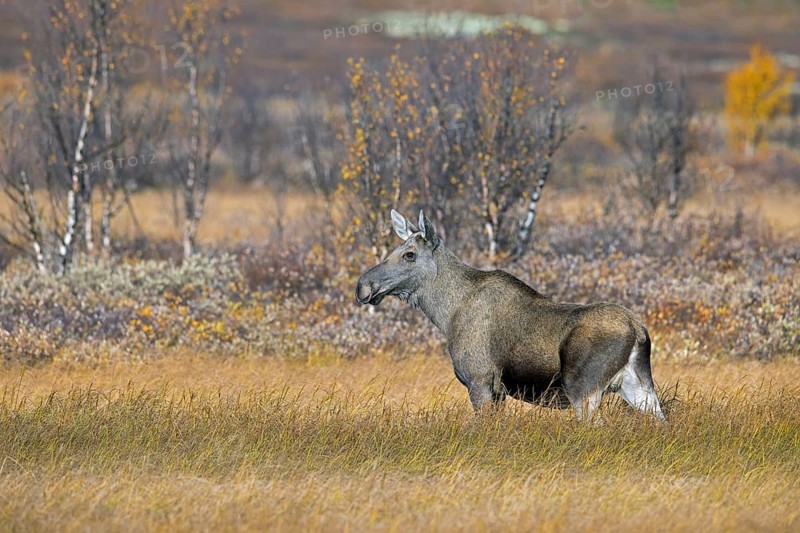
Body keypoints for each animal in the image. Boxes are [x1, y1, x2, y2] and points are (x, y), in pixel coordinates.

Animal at [356, 209, 665, 423]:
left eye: (409, 254)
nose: (363, 286)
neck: (446, 314)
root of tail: (638, 330)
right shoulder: (498, 392)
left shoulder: (480, 381)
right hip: (639, 387)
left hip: (583, 388)